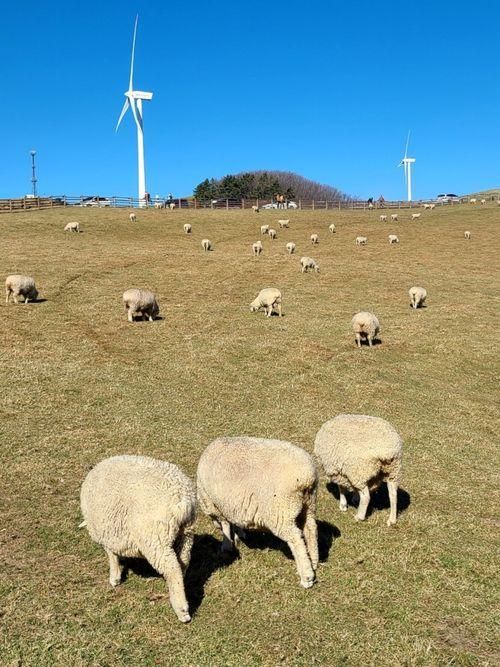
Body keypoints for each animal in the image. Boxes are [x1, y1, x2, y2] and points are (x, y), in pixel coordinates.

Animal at [80, 456, 195, 624]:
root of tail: (182, 499)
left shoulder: (107, 533)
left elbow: (111, 555)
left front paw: (114, 578)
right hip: (186, 534)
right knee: (183, 563)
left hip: (155, 539)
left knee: (172, 569)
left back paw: (182, 610)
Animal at [197, 438, 318, 588]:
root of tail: (306, 476)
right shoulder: (233, 505)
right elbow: (234, 523)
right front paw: (238, 535)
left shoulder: (217, 504)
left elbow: (225, 524)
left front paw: (226, 545)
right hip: (309, 505)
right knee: (311, 530)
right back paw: (314, 561)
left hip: (281, 513)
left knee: (296, 539)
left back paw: (306, 577)